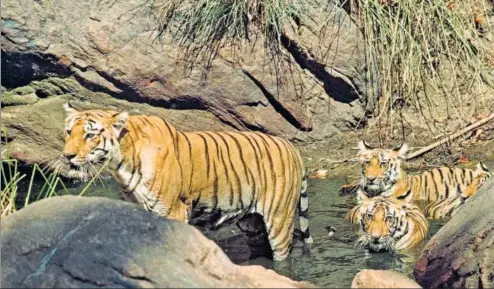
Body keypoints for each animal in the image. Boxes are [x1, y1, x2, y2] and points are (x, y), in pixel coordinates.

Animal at [58, 103, 312, 260]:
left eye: (90, 135)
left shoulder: (173, 213)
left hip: (279, 220)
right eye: (69, 132)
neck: (122, 164)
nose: (67, 155)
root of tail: (292, 147)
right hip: (253, 225)